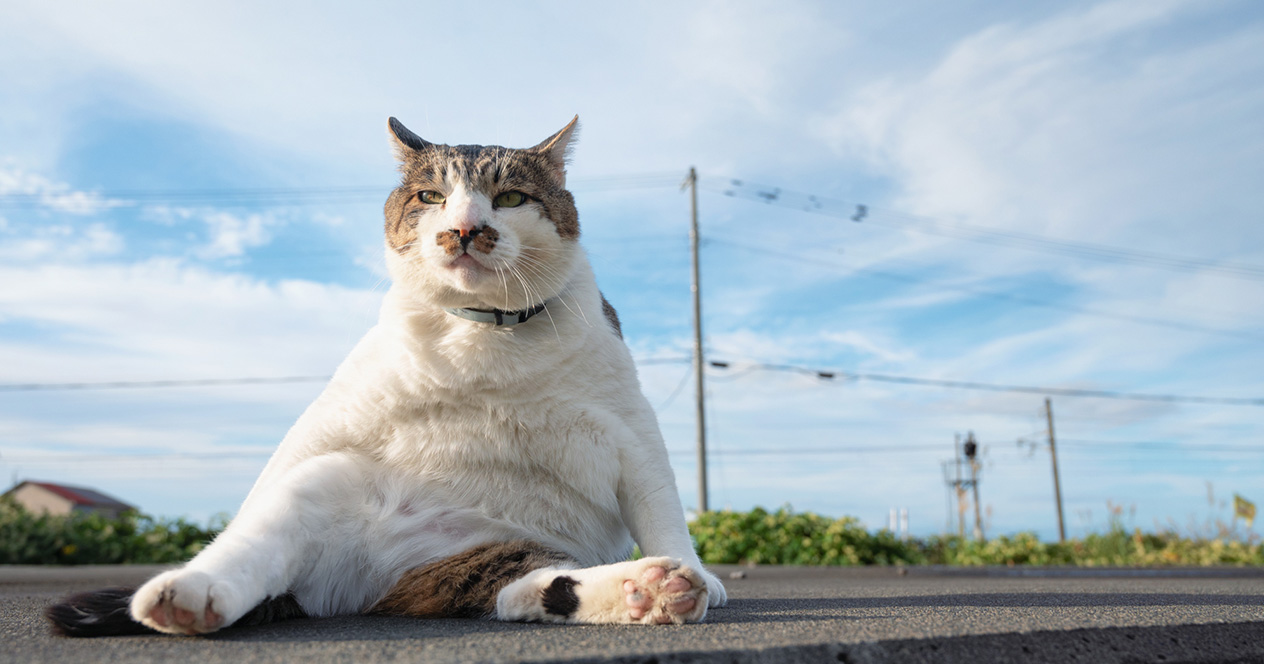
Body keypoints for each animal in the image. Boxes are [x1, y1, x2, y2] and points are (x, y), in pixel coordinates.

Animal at [46, 116, 733, 634]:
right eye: (431, 197)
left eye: (511, 198)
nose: (465, 230)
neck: (487, 336)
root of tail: (373, 588)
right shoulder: (341, 410)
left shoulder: (630, 426)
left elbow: (661, 507)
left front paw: (701, 573)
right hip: (322, 481)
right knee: (255, 538)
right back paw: (188, 595)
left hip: (494, 551)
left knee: (524, 587)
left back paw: (653, 587)